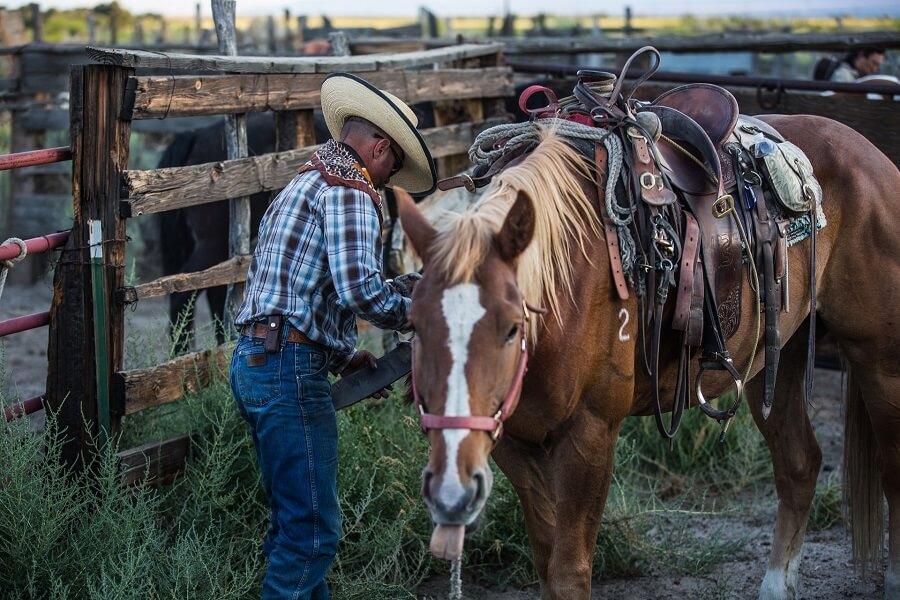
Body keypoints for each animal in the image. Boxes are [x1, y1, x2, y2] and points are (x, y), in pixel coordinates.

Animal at [395, 117, 900, 599]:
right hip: (774, 359)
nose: (450, 494)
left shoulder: (590, 435)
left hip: (878, 360)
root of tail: (869, 154)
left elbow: (569, 572)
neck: (565, 283)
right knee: (799, 464)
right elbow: (544, 561)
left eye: (511, 327)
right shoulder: (514, 442)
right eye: (415, 325)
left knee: (890, 465)